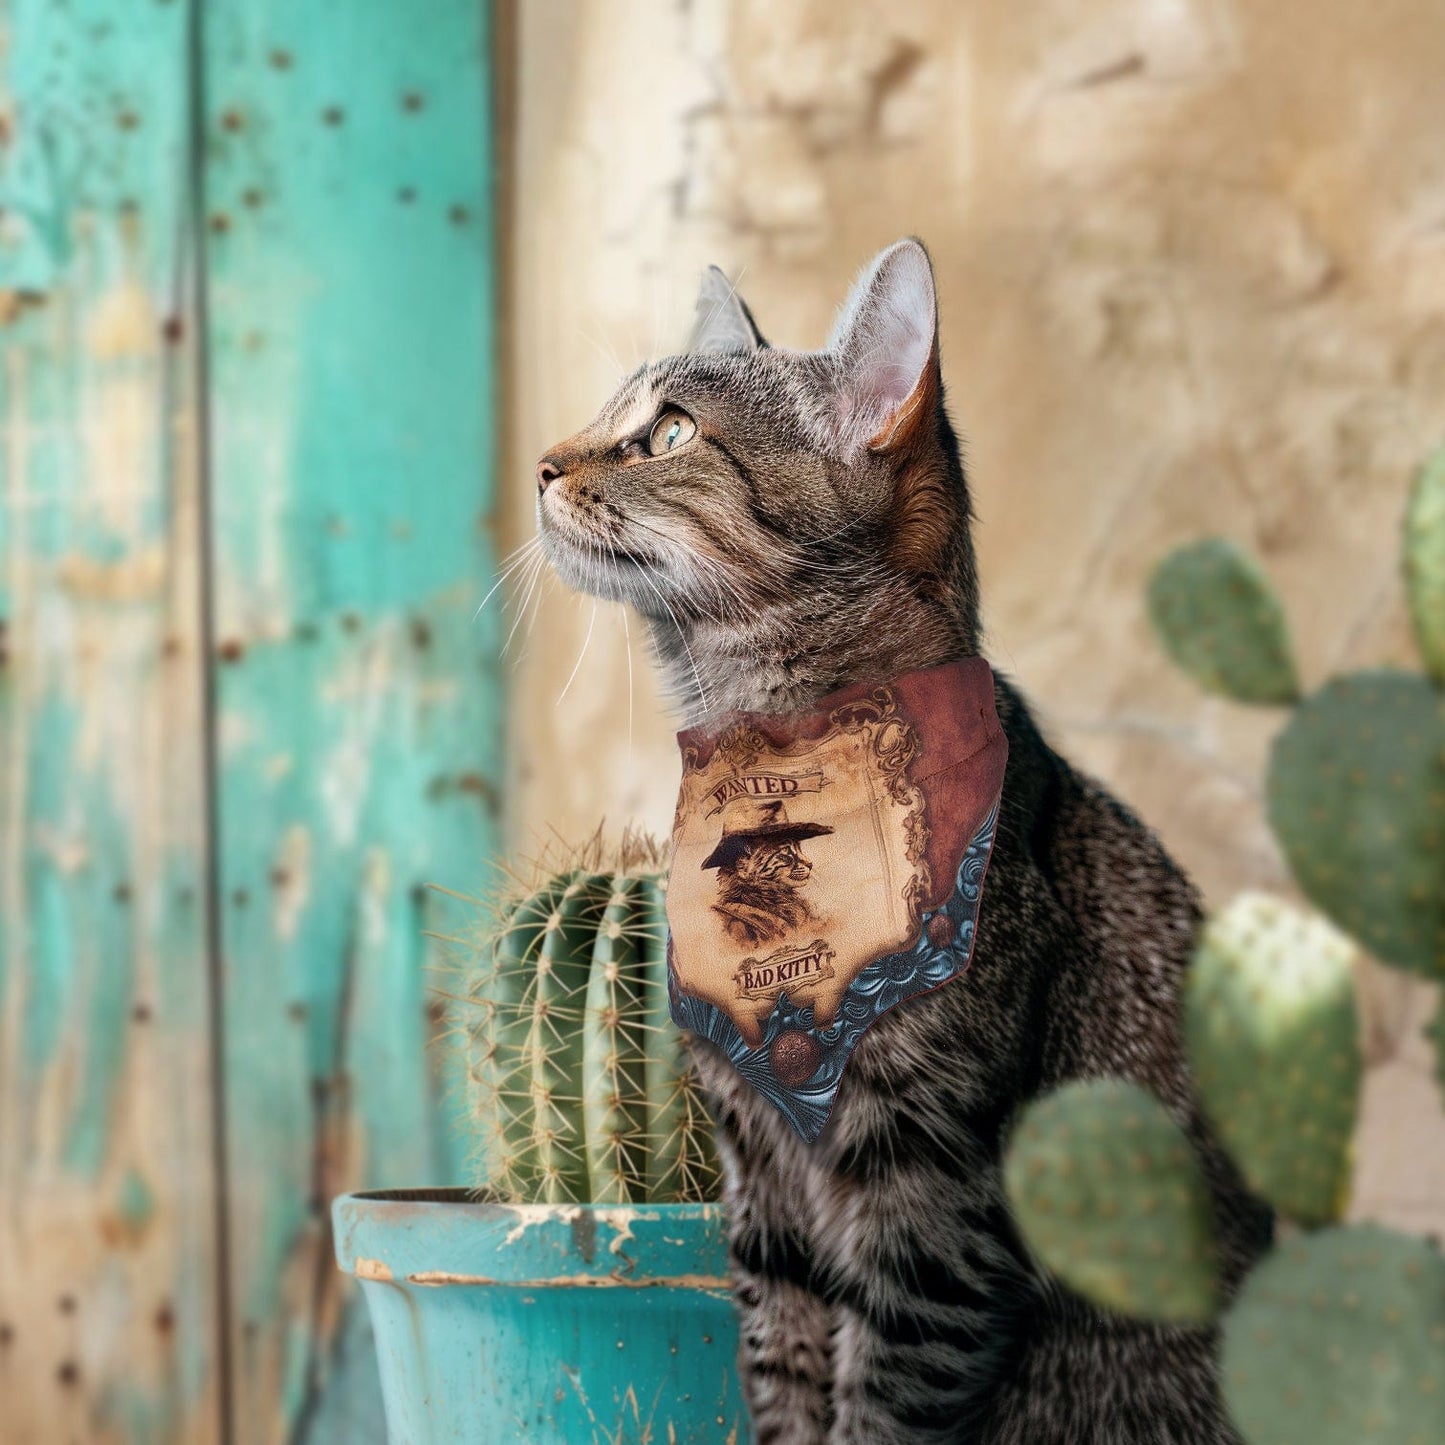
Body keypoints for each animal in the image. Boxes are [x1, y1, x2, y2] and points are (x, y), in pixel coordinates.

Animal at [531, 242, 1265, 1439]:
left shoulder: (935, 1203)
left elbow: (879, 1404)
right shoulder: (759, 1182)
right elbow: (782, 1383)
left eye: (670, 432)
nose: (542, 464)